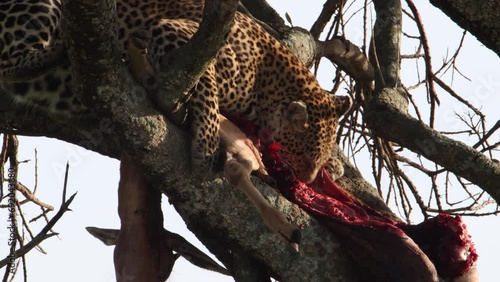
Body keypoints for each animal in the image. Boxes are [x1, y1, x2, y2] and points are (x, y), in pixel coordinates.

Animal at [0, 0, 352, 184]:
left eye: (317, 157)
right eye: (305, 153)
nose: (308, 179)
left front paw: (335, 167)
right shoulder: (173, 33)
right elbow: (208, 88)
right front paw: (205, 148)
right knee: (9, 62)